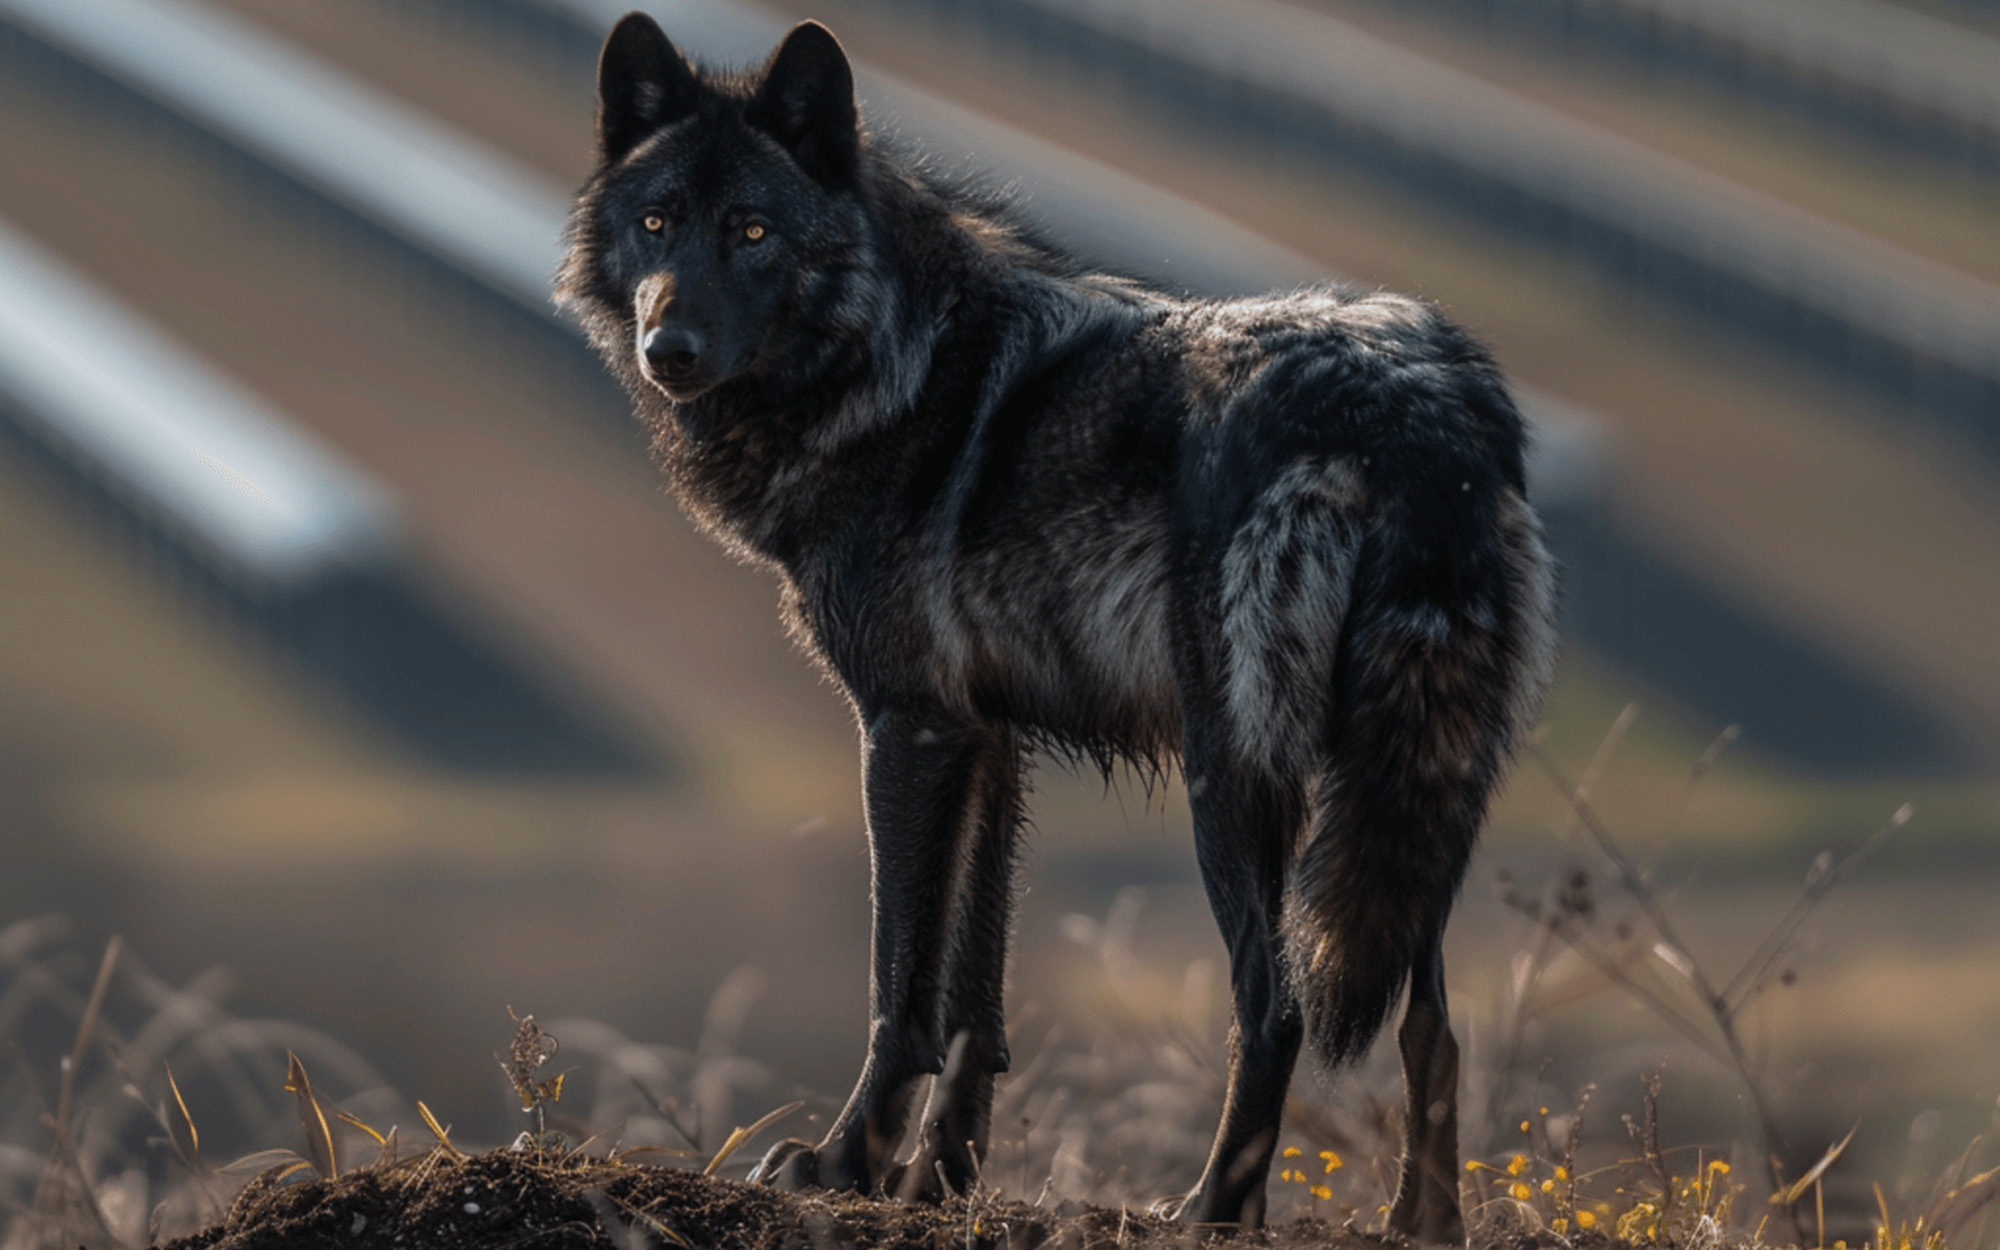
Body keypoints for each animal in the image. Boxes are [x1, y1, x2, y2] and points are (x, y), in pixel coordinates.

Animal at [558, 12, 1559, 1239]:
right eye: (656, 222)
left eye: (751, 231)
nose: (670, 348)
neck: (890, 361)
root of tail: (1422, 413)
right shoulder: (990, 738)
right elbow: (973, 997)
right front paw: (938, 1178)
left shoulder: (908, 726)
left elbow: (900, 984)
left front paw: (844, 1162)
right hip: (1406, 798)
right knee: (1432, 1022)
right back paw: (1418, 1225)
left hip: (1236, 778)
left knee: (1273, 1004)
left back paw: (1209, 1209)